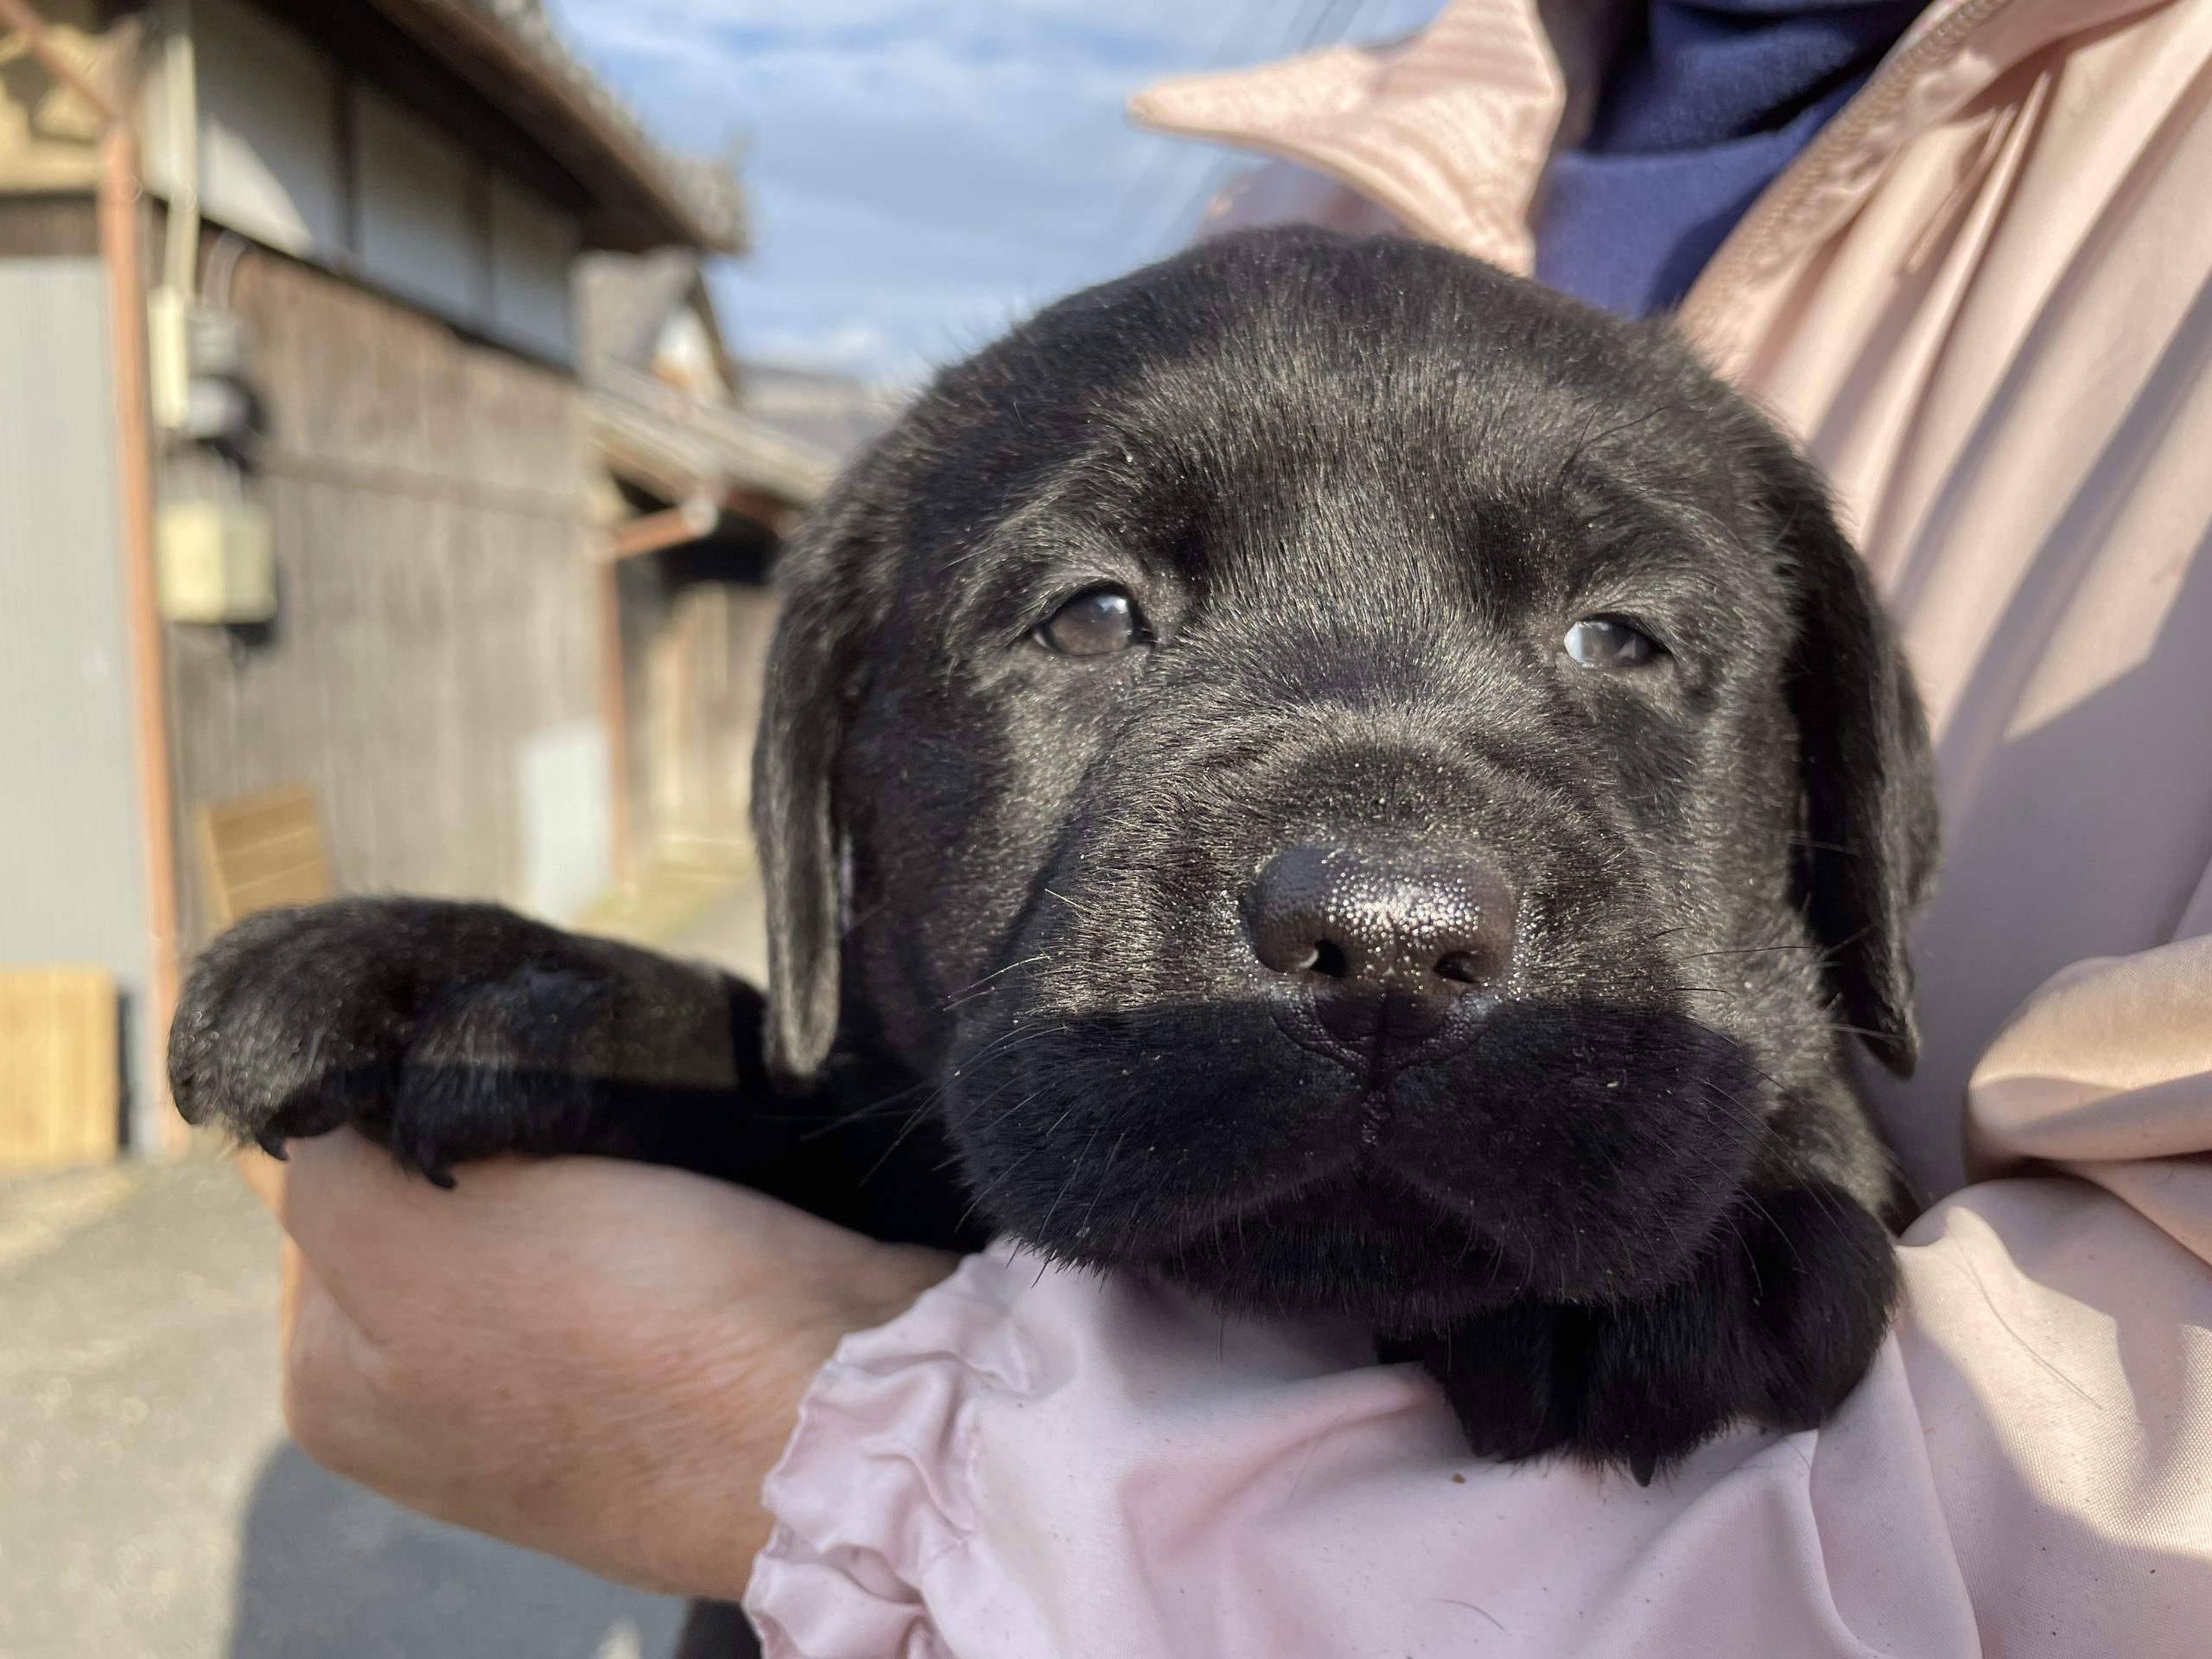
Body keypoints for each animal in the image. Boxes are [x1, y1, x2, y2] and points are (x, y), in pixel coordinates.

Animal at [172, 224, 1937, 1495]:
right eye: (1091, 617)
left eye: (1617, 638)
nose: (1383, 939)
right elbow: (785, 1063)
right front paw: (468, 972)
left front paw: (1730, 1213)